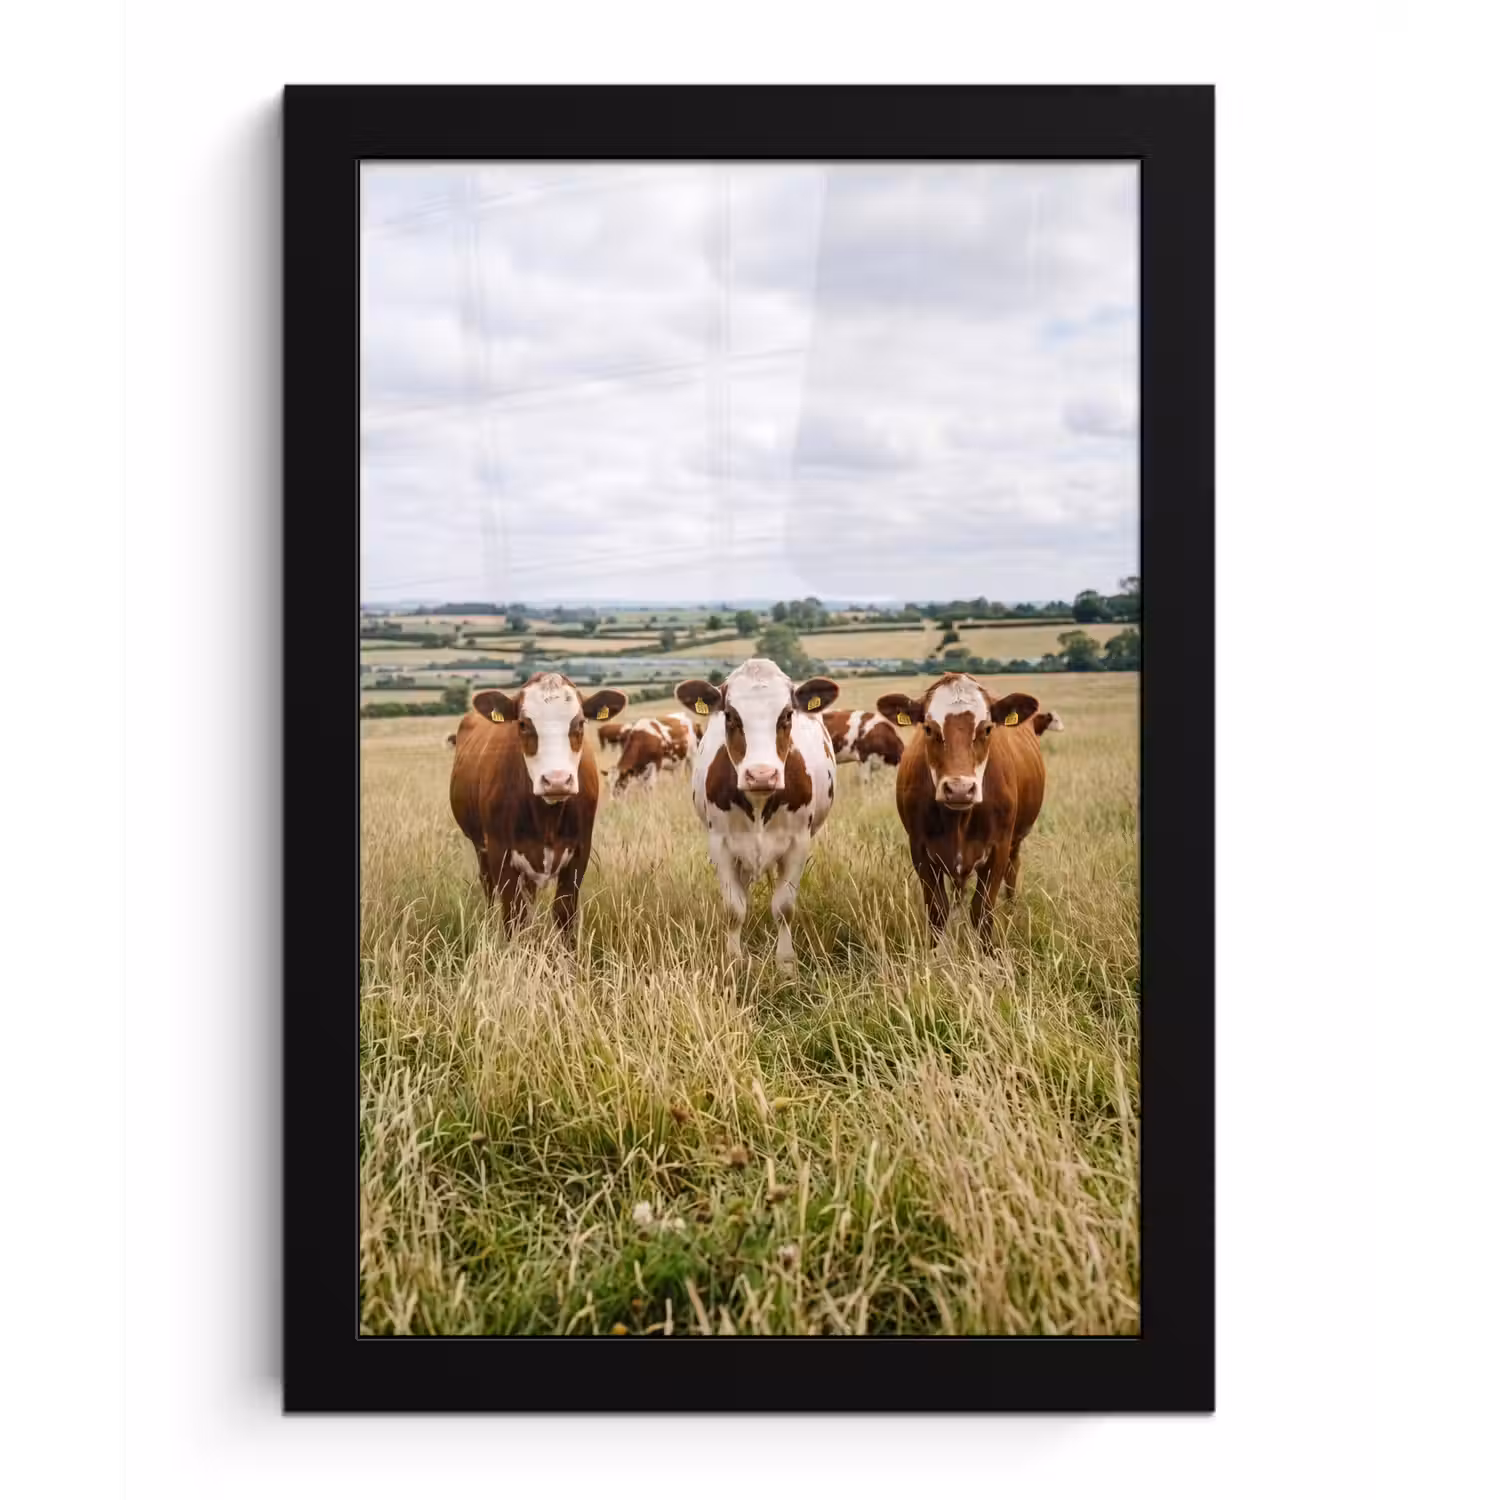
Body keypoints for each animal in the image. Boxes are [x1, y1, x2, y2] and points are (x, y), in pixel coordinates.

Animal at [448, 672, 627, 940]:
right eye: (523, 724)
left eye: (580, 722)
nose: (556, 780)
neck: (546, 817)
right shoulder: (500, 853)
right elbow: (514, 917)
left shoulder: (580, 852)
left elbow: (564, 913)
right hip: (481, 848)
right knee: (488, 887)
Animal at [675, 659, 840, 970]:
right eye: (730, 716)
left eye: (787, 715)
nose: (761, 774)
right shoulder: (720, 844)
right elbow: (734, 907)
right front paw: (734, 960)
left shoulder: (798, 843)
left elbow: (784, 906)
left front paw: (786, 963)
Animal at [876, 674, 1046, 950]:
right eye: (929, 729)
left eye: (987, 729)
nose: (959, 789)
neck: (958, 820)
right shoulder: (920, 850)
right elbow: (937, 910)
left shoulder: (998, 848)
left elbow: (982, 910)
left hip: (1016, 841)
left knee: (1013, 871)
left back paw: (1012, 910)